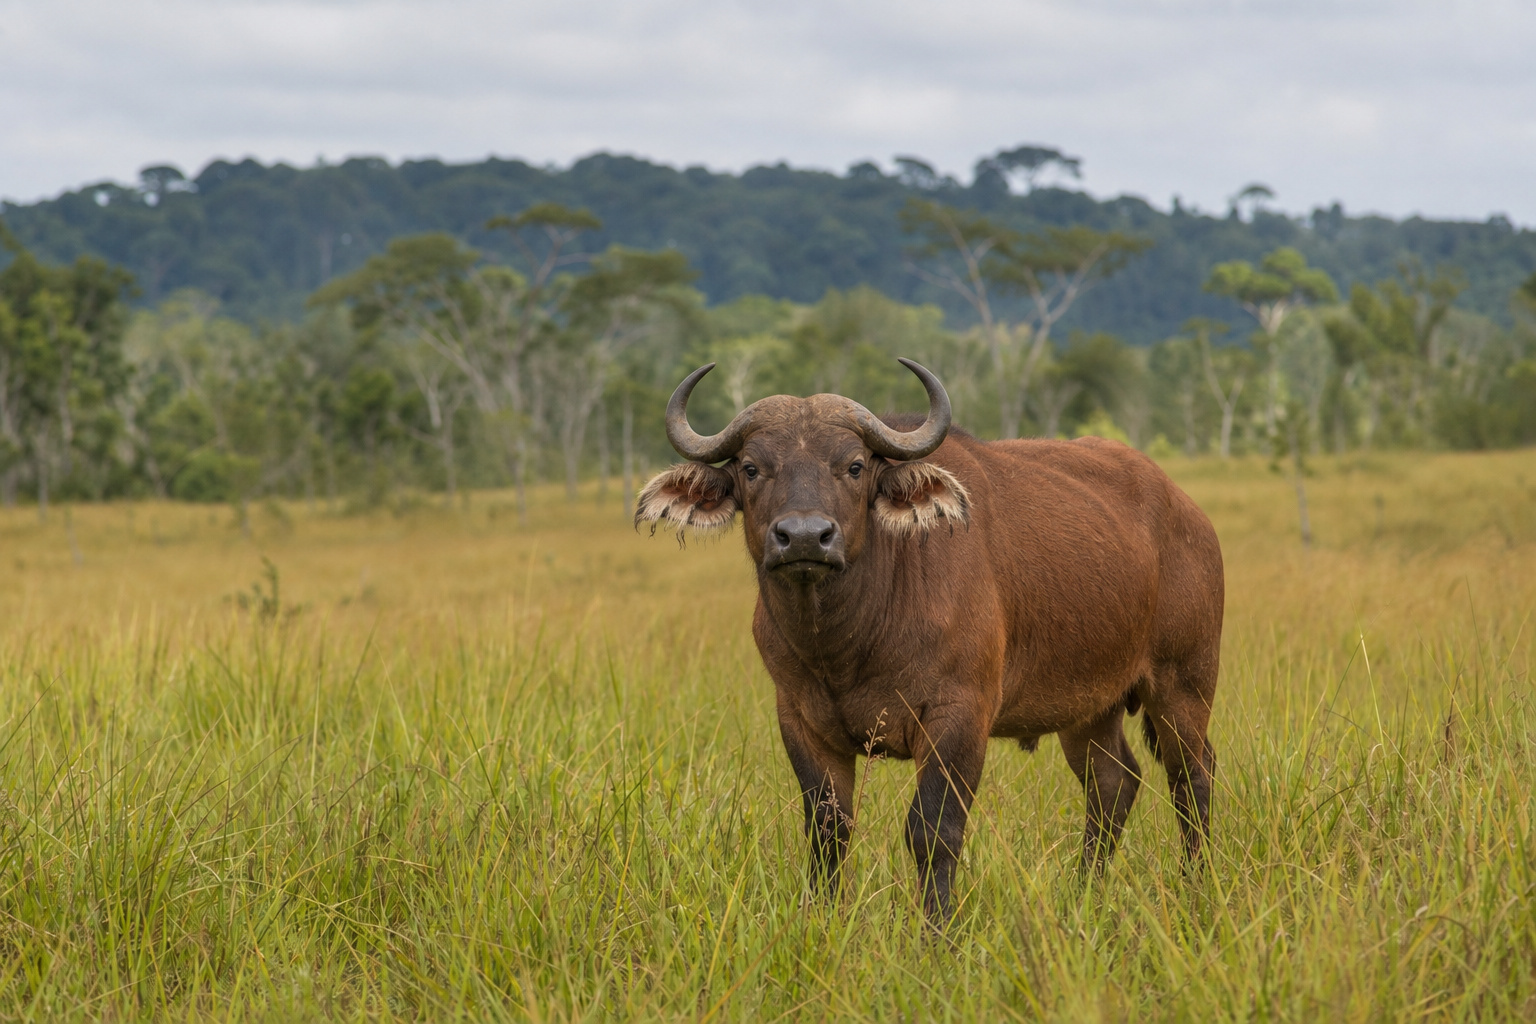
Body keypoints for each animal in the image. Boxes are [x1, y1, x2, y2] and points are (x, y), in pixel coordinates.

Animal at [636, 359, 1223, 922]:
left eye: (855, 465)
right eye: (751, 467)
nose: (804, 537)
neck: (849, 643)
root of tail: (1188, 513)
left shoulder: (959, 716)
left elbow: (933, 829)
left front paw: (936, 929)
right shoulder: (799, 719)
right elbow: (828, 829)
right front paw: (821, 920)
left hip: (1183, 686)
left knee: (1192, 777)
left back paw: (1196, 885)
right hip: (1089, 707)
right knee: (1113, 785)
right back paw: (1084, 892)